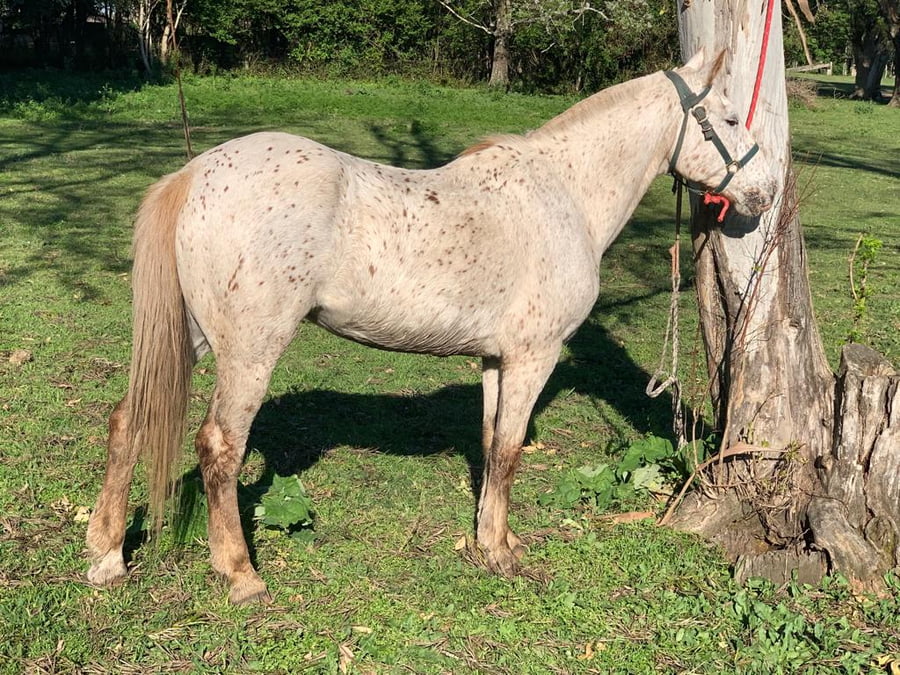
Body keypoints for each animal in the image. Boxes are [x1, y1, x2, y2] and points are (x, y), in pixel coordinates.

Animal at [86, 49, 777, 604]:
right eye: (732, 119)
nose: (764, 194)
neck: (564, 195)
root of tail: (195, 173)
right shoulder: (533, 355)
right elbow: (509, 449)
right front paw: (500, 556)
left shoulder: (497, 360)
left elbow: (493, 446)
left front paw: (492, 540)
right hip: (251, 348)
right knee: (219, 447)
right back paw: (239, 575)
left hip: (196, 336)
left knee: (129, 419)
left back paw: (107, 556)